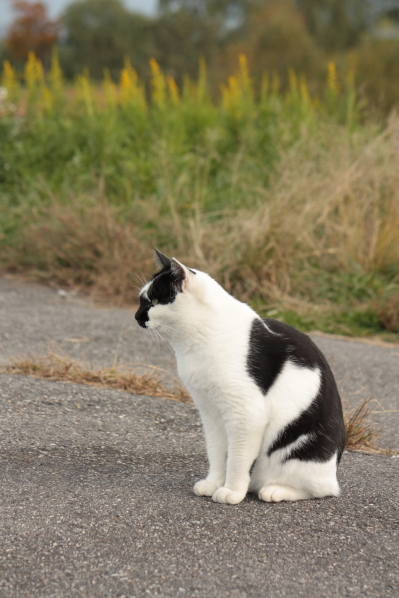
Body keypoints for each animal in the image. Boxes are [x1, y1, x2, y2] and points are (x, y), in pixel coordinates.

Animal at [135, 248, 346, 506]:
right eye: (141, 300)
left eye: (154, 301)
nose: (136, 316)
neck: (197, 338)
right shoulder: (210, 412)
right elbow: (217, 453)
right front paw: (214, 483)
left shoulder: (246, 414)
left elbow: (236, 460)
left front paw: (232, 491)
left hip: (301, 456)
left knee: (321, 488)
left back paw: (275, 490)